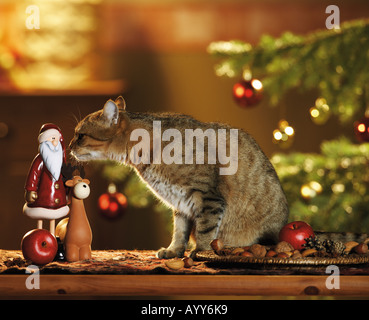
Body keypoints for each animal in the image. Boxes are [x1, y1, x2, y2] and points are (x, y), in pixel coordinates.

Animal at [69, 95, 288, 258]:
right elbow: (179, 231)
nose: (69, 146)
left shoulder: (207, 197)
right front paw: (174, 251)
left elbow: (206, 231)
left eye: (80, 135)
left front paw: (201, 252)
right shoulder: (181, 203)